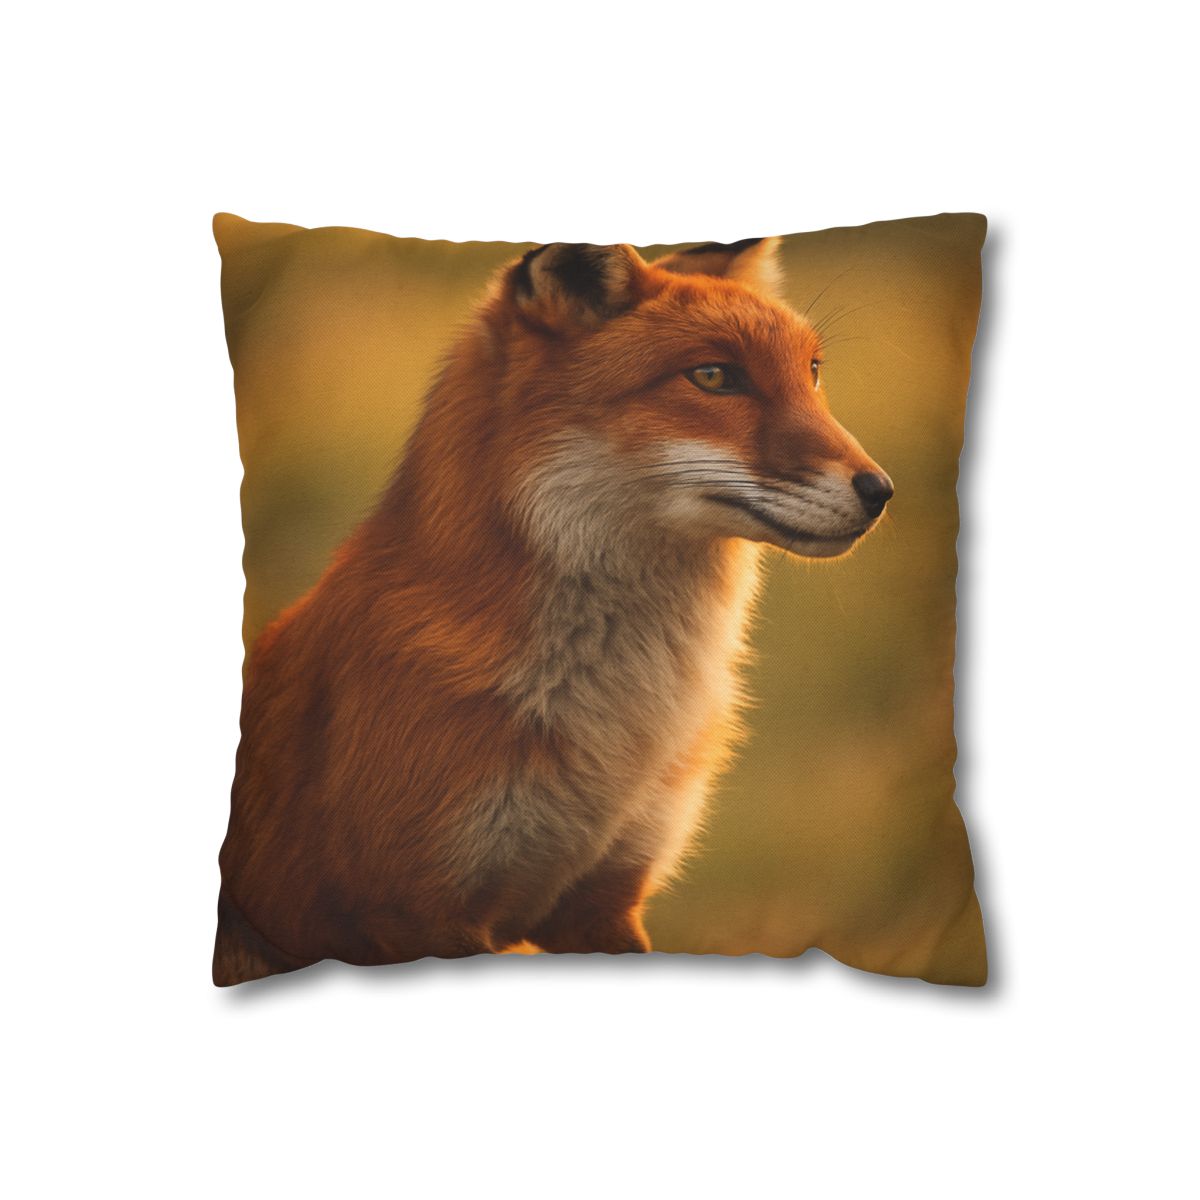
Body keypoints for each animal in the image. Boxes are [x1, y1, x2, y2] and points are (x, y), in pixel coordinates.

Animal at [214, 236, 893, 985]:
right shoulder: (419, 911)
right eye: (714, 376)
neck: (622, 722)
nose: (881, 490)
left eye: (812, 373)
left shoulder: (603, 902)